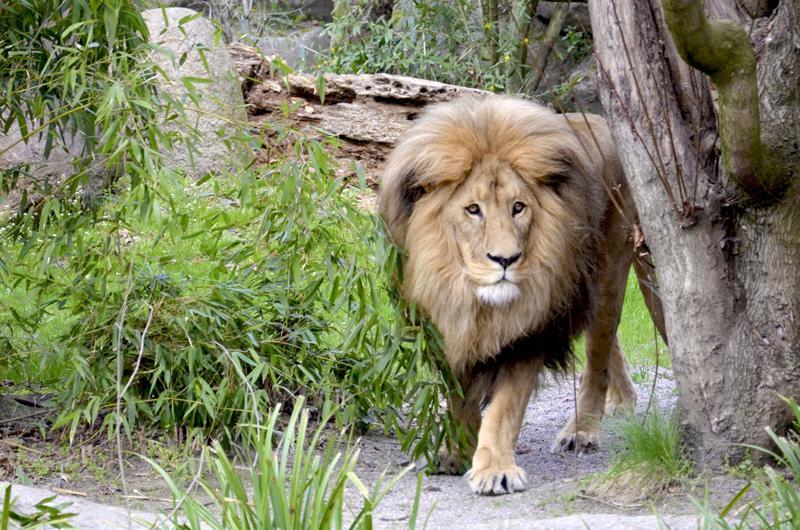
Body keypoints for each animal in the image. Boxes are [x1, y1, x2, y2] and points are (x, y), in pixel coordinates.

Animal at [378, 96, 665, 495]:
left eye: (518, 207)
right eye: (473, 210)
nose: (505, 259)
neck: (470, 297)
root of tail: (604, 124)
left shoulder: (529, 332)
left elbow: (503, 410)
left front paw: (495, 469)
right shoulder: (445, 326)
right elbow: (459, 400)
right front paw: (456, 452)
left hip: (610, 268)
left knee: (598, 352)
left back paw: (582, 430)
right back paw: (624, 400)